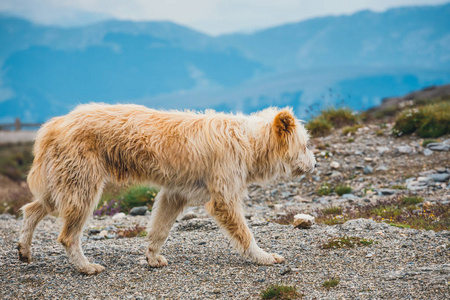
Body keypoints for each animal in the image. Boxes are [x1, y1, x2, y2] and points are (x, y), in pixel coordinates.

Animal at [18, 103, 316, 274]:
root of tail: (54, 124)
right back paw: (85, 266)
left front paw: (152, 257)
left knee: (35, 206)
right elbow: (242, 230)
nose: (315, 163)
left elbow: (160, 226)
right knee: (69, 230)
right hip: (83, 176)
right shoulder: (224, 184)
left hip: (63, 175)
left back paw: (24, 249)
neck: (251, 143)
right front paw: (264, 256)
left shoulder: (177, 191)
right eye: (305, 145)